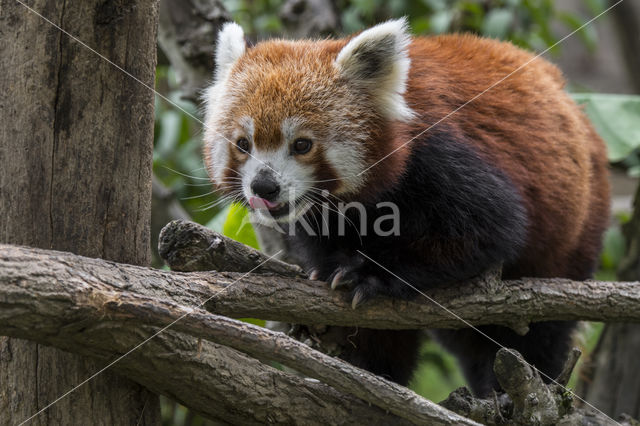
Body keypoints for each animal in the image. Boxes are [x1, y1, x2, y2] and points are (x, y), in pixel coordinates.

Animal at [204, 17, 608, 396]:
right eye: (243, 144)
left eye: (302, 144)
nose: (264, 186)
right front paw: (332, 280)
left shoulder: (437, 153)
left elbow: (492, 230)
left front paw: (367, 274)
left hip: (574, 232)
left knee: (537, 337)